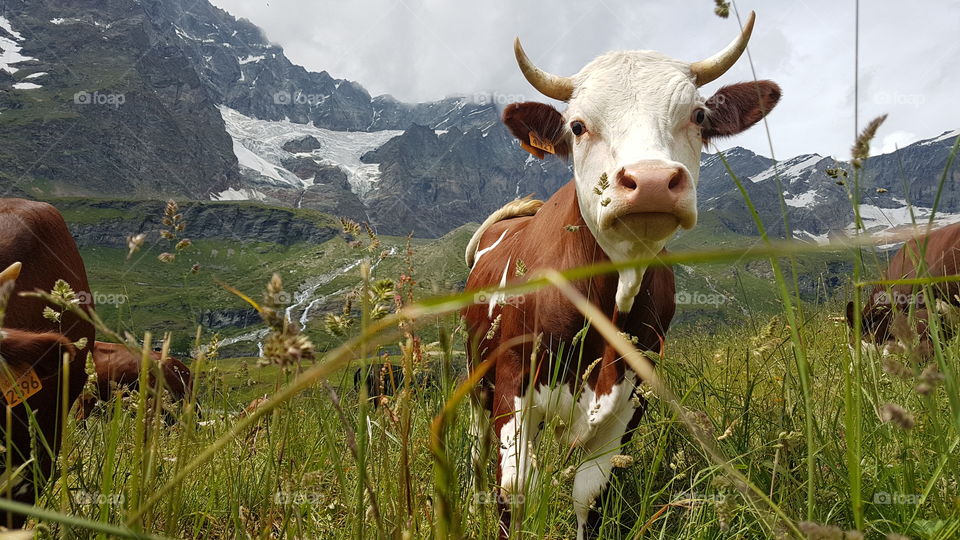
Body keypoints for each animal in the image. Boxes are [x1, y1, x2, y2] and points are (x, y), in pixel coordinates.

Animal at [462, 13, 780, 539]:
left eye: (698, 116)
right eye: (577, 125)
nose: (650, 181)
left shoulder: (632, 394)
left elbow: (589, 494)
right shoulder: (513, 380)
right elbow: (517, 489)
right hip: (475, 375)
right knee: (477, 445)